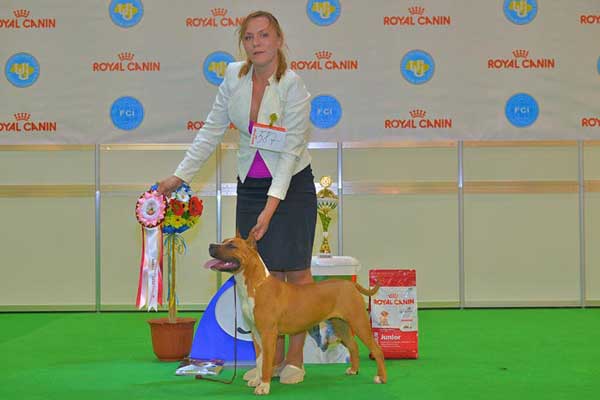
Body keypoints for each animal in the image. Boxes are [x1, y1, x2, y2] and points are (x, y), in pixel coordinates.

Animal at [204, 231, 387, 395]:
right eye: (223, 241)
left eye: (232, 246)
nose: (211, 245)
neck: (256, 285)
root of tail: (350, 284)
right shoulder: (256, 334)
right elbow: (259, 360)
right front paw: (257, 380)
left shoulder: (268, 334)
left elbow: (266, 363)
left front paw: (264, 386)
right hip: (340, 324)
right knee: (353, 346)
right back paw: (353, 370)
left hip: (359, 322)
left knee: (377, 350)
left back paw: (381, 378)